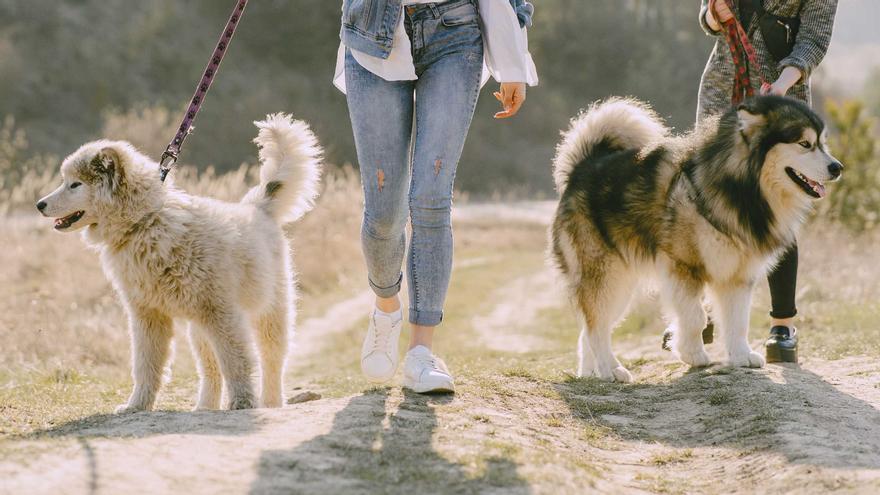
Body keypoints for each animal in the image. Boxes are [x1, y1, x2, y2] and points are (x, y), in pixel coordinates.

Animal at [37, 114, 324, 412]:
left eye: (75, 184)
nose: (39, 204)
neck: (145, 223)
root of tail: (258, 206)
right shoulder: (147, 315)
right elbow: (146, 366)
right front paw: (137, 405)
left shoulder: (223, 314)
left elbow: (237, 362)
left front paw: (243, 402)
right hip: (200, 329)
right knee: (210, 370)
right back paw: (205, 408)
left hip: (269, 312)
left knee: (272, 361)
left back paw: (271, 402)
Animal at [552, 97, 844, 384]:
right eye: (805, 144)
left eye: (823, 143)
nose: (838, 167)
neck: (741, 189)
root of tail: (582, 167)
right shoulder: (683, 265)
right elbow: (695, 316)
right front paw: (692, 354)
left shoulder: (738, 275)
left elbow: (739, 320)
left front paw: (741, 355)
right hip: (606, 276)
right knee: (596, 327)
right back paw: (610, 369)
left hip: (620, 284)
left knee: (589, 328)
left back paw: (591, 373)